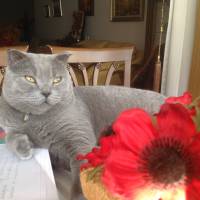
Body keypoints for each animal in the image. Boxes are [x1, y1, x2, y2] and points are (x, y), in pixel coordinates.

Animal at [0, 49, 164, 198]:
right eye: (30, 78)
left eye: (57, 80)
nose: (46, 92)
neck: (38, 119)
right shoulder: (9, 126)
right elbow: (10, 138)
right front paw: (24, 149)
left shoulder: (78, 139)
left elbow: (80, 173)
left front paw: (78, 195)